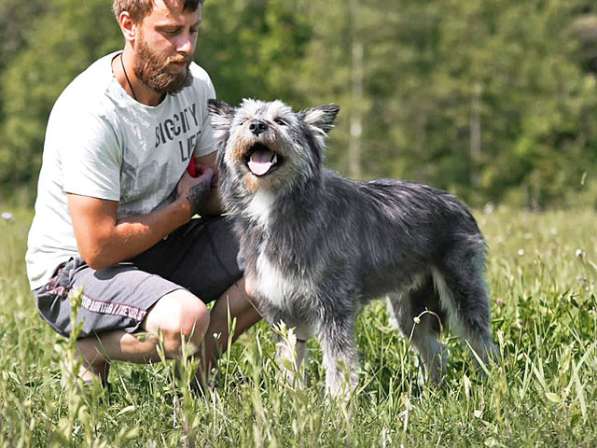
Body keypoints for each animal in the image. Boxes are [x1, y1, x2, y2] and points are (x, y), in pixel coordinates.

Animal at [207, 99, 496, 400]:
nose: (256, 126)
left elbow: (339, 362)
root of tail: (457, 203)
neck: (275, 207)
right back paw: (432, 392)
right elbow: (290, 362)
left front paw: (338, 403)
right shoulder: (282, 311)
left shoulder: (333, 307)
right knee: (436, 351)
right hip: (410, 312)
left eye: (281, 121)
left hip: (463, 292)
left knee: (482, 343)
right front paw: (292, 399)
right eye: (244, 120)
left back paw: (492, 383)